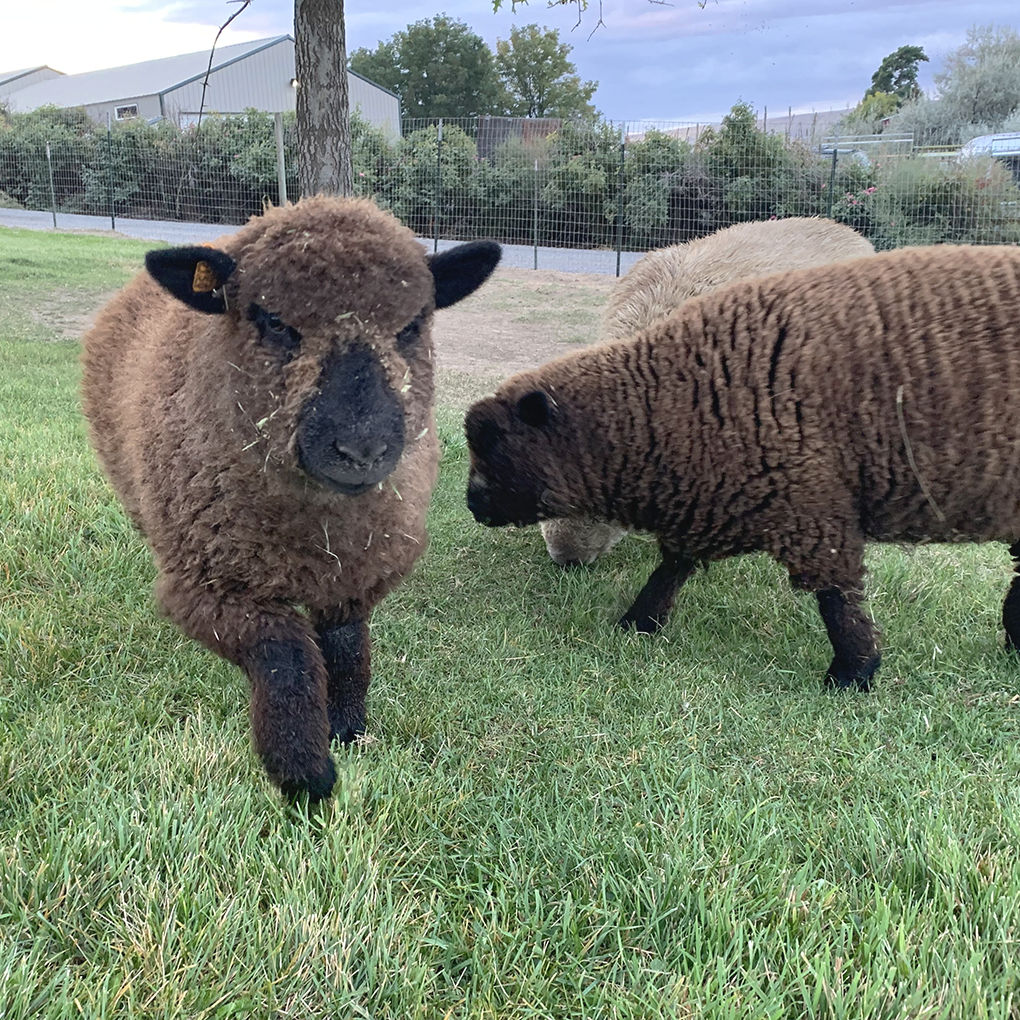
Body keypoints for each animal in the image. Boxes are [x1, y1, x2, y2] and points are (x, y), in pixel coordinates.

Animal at [81, 196, 500, 800]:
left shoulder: (354, 573)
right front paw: (305, 775)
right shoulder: (206, 588)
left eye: (411, 325)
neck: (315, 532)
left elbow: (346, 648)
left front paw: (347, 729)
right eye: (276, 322)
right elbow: (285, 654)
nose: (361, 450)